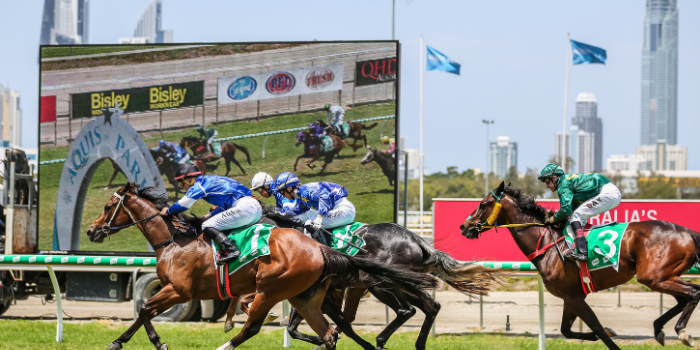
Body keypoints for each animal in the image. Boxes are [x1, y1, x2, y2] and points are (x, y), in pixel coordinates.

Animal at [86, 183, 438, 350]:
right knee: (335, 330)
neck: (174, 241)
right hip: (308, 294)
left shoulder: (180, 290)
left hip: (280, 288)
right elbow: (144, 310)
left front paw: (155, 342)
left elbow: (145, 308)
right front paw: (121, 341)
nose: (91, 231)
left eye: (108, 205)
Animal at [226, 208, 498, 350]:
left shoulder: (314, 292)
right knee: (430, 306)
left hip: (382, 284)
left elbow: (309, 325)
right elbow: (307, 325)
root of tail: (416, 239)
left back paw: (381, 341)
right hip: (399, 283)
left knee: (408, 310)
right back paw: (414, 343)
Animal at [462, 182, 700, 348]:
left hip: (652, 276)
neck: (547, 243)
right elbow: (567, 330)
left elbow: (597, 328)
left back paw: (682, 332)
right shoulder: (572, 296)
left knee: (693, 292)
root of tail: (687, 232)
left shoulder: (574, 297)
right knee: (686, 296)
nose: (464, 227)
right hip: (664, 276)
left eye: (482, 204)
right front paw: (605, 332)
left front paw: (606, 333)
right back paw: (660, 329)